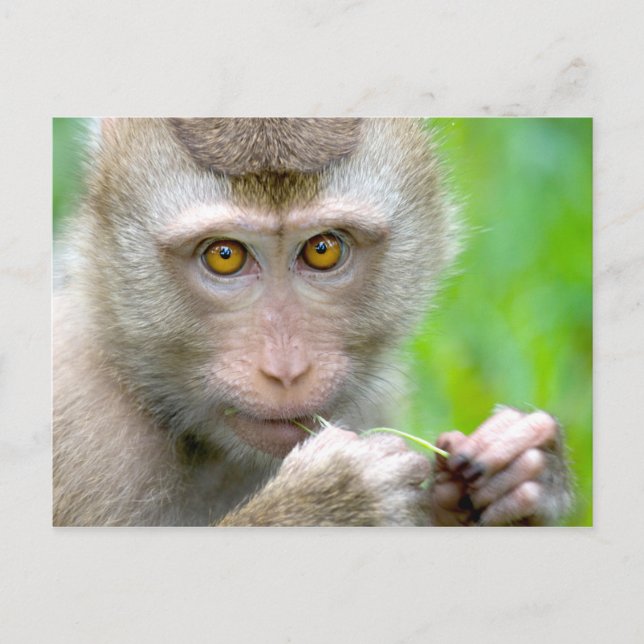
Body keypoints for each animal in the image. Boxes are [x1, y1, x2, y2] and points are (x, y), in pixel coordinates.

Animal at [53, 118, 573, 527]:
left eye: (323, 249)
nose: (287, 371)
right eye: (225, 255)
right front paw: (338, 496)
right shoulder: (84, 422)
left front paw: (522, 468)